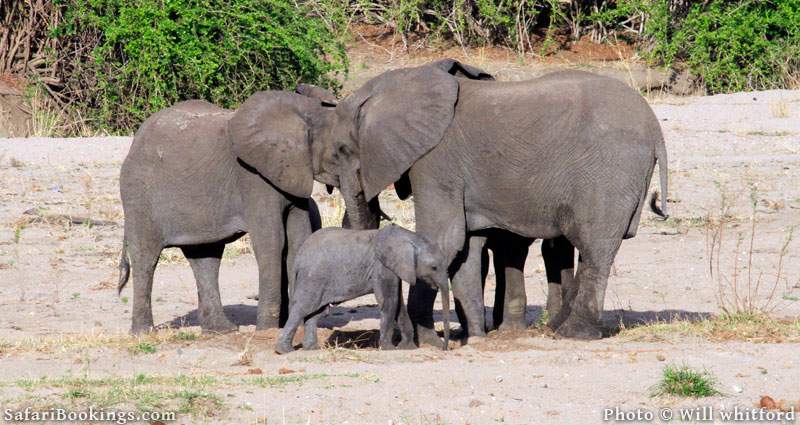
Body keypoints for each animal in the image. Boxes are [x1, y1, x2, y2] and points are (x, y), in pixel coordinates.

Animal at [276, 224, 450, 352]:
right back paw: (284, 350)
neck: (408, 236)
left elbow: (398, 303)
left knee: (315, 312)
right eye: (434, 267)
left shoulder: (394, 267)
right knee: (302, 308)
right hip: (313, 277)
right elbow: (390, 301)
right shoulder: (381, 265)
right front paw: (389, 348)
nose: (444, 349)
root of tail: (299, 255)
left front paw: (407, 348)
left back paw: (312, 349)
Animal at [312, 59, 668, 340]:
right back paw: (556, 328)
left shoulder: (436, 161)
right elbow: (466, 247)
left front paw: (423, 340)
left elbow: (442, 239)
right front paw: (471, 336)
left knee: (595, 248)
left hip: (609, 172)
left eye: (342, 150)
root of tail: (656, 131)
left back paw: (573, 333)